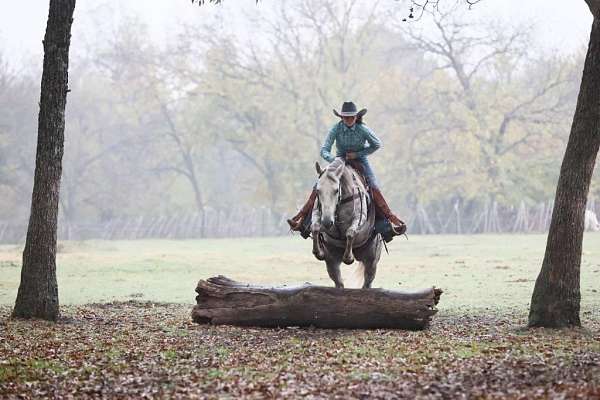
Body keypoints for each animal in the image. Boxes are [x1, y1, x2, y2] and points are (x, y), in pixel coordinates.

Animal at [312, 156, 382, 288]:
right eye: (318, 190)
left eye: (336, 190)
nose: (327, 221)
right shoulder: (318, 213)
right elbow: (315, 227)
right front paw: (318, 252)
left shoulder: (359, 217)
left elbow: (350, 232)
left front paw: (348, 258)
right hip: (332, 262)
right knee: (338, 282)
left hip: (371, 261)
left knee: (368, 282)